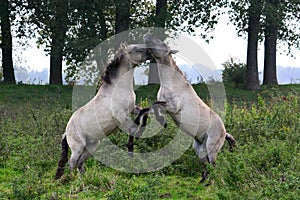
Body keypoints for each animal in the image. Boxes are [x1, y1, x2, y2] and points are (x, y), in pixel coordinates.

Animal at [54, 43, 151, 179]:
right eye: (138, 49)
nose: (151, 51)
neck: (118, 88)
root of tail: (66, 132)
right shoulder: (121, 116)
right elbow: (132, 129)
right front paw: (130, 152)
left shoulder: (132, 110)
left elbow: (145, 111)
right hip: (77, 147)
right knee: (72, 163)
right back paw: (69, 180)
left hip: (91, 146)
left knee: (80, 163)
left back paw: (83, 180)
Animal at [141, 34, 237, 183]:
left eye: (162, 44)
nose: (147, 35)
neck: (172, 83)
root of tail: (224, 132)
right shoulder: (164, 106)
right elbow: (151, 107)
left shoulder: (173, 107)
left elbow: (155, 104)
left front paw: (163, 122)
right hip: (199, 149)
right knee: (206, 167)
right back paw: (202, 183)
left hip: (211, 149)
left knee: (214, 166)